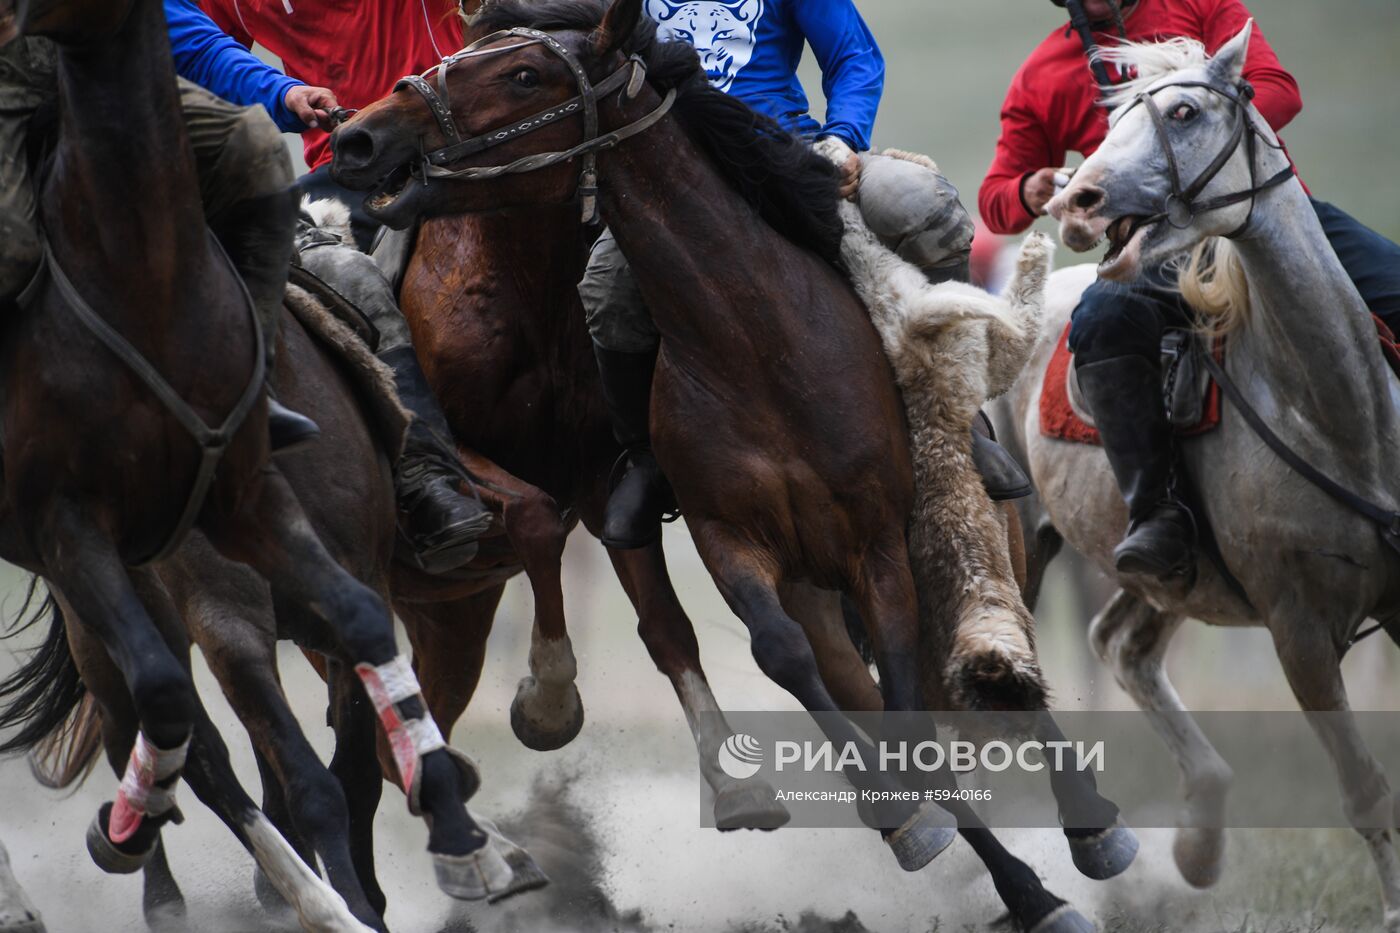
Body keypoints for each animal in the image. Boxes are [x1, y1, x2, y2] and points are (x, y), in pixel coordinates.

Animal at [0, 0, 498, 913]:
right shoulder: (226, 618)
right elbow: (309, 783)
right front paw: (339, 898)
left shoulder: (350, 582)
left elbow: (354, 763)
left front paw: (417, 864)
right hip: (102, 615)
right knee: (185, 750)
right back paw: (168, 879)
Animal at [327, 0, 1114, 924]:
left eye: (524, 74)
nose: (362, 136)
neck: (758, 342)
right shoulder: (729, 536)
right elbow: (784, 656)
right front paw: (905, 821)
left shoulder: (878, 546)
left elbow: (905, 692)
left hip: (966, 541)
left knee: (991, 647)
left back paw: (1087, 829)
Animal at [1002, 23, 1400, 930]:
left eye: (1184, 111)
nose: (1077, 200)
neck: (1338, 416)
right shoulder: (1298, 631)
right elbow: (1365, 789)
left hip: (1164, 574)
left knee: (1121, 643)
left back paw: (1199, 841)